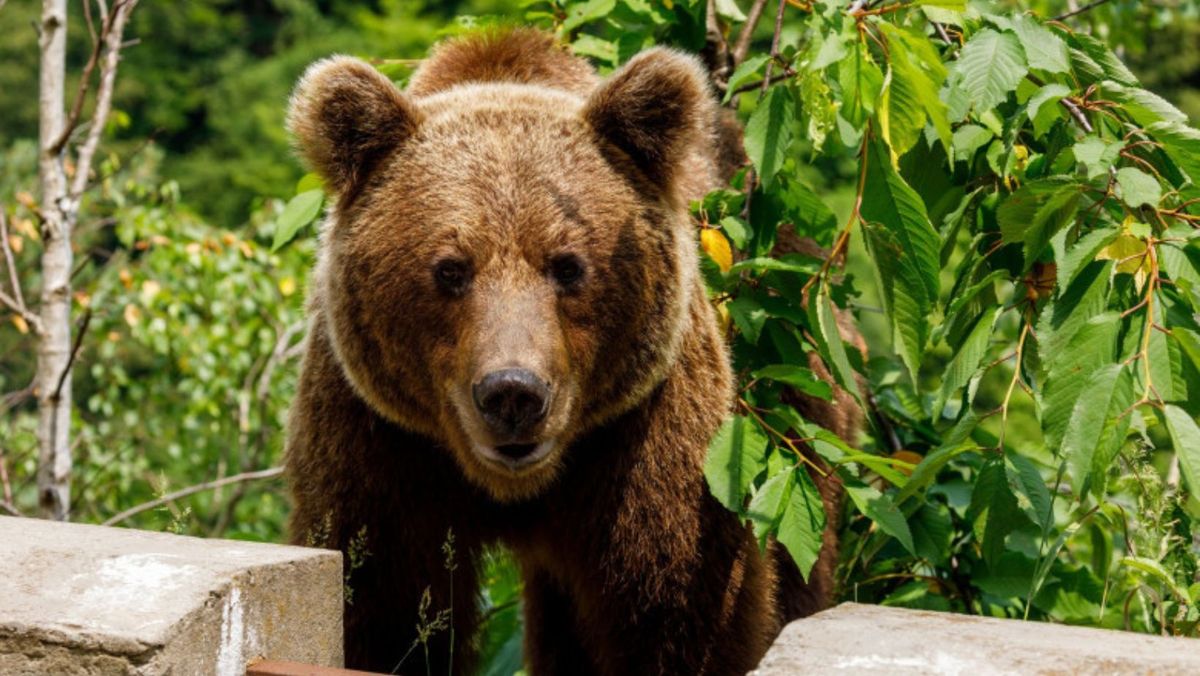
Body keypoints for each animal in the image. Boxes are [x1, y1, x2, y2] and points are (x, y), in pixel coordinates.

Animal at [284, 27, 849, 676]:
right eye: (450, 268)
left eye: (568, 265)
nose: (512, 393)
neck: (520, 488)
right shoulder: (378, 442)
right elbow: (382, 607)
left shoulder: (648, 438)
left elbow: (679, 610)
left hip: (798, 399)